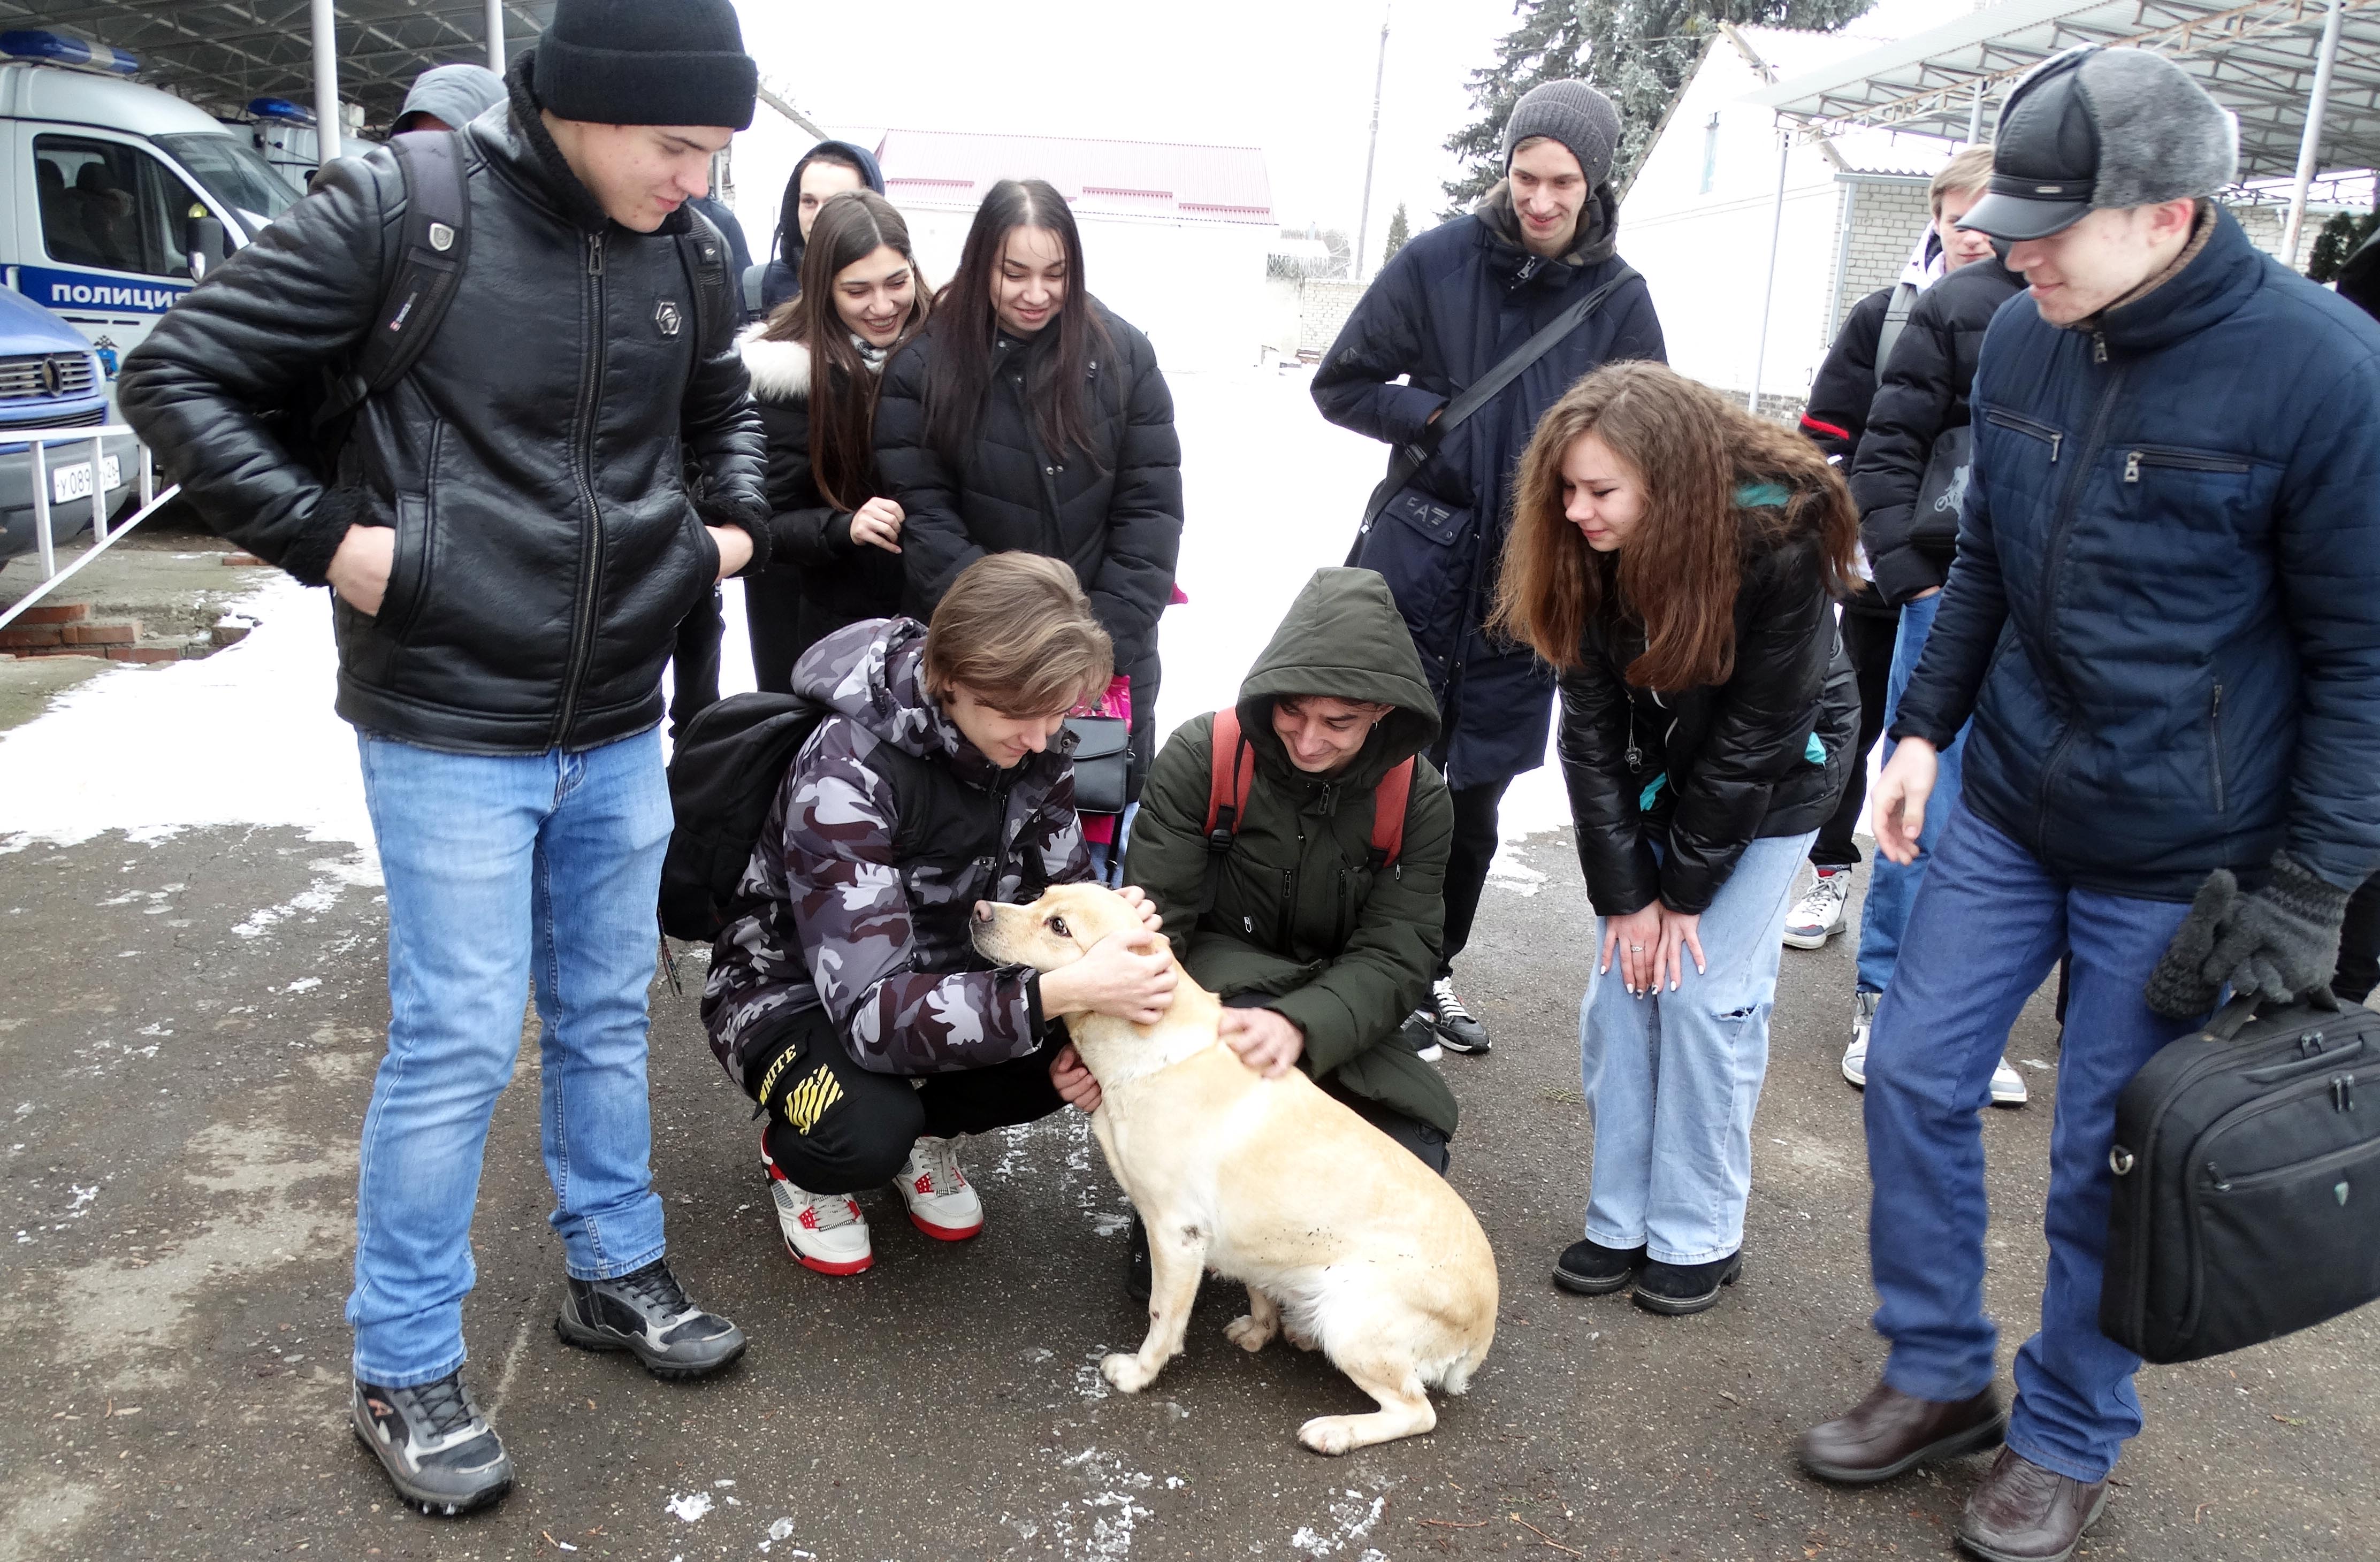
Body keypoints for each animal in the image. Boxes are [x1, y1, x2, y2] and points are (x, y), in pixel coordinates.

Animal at [961, 885, 1485, 1448]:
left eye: (1059, 926)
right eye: (1041, 895)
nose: (979, 912)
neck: (1148, 1049)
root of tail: (1483, 1332)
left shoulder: (1175, 1233)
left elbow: (1162, 1314)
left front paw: (1138, 1373)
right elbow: (1256, 1289)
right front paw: (1259, 1329)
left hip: (1353, 1319)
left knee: (1417, 1411)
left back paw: (1335, 1431)